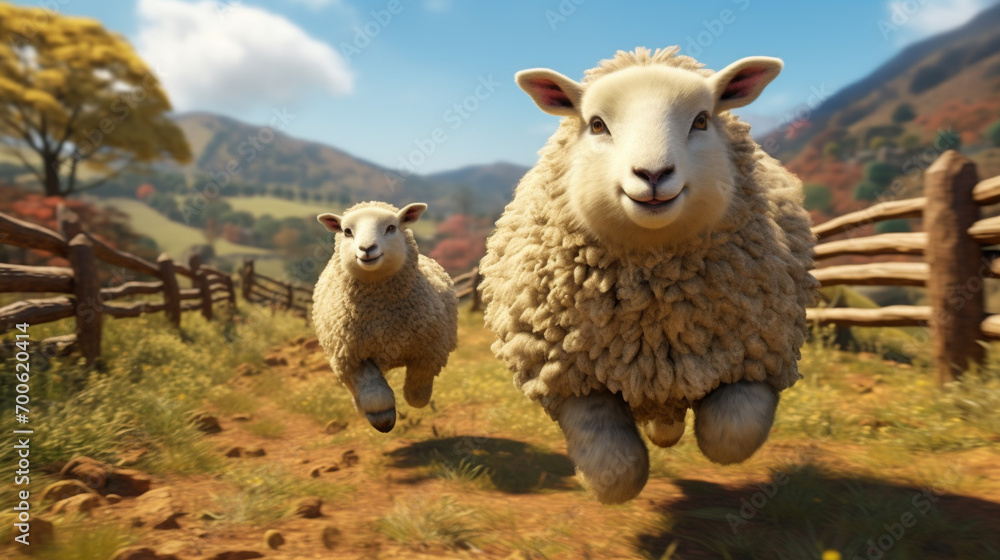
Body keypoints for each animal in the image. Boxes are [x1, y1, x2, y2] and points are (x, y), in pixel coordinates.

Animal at [312, 201, 459, 433]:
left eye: (391, 227)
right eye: (347, 231)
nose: (366, 249)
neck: (381, 317)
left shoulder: (429, 351)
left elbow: (417, 393)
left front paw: (416, 399)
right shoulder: (350, 356)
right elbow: (374, 392)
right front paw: (382, 418)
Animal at [479, 47, 817, 504]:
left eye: (701, 120)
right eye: (596, 124)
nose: (653, 174)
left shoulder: (759, 352)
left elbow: (730, 435)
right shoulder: (566, 375)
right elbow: (616, 471)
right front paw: (602, 476)